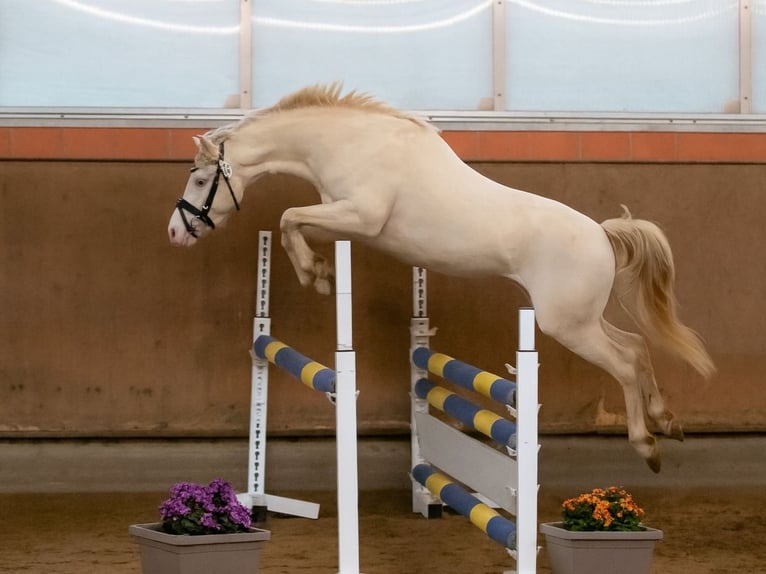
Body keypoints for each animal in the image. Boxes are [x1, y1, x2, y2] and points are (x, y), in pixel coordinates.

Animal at [168, 83, 715, 472]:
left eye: (201, 180)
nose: (176, 232)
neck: (351, 143)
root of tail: (602, 234)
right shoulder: (342, 217)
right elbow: (291, 223)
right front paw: (319, 271)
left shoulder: (359, 217)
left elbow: (287, 218)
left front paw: (315, 275)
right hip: (582, 320)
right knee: (638, 348)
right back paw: (668, 421)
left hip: (567, 325)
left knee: (623, 363)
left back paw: (648, 446)